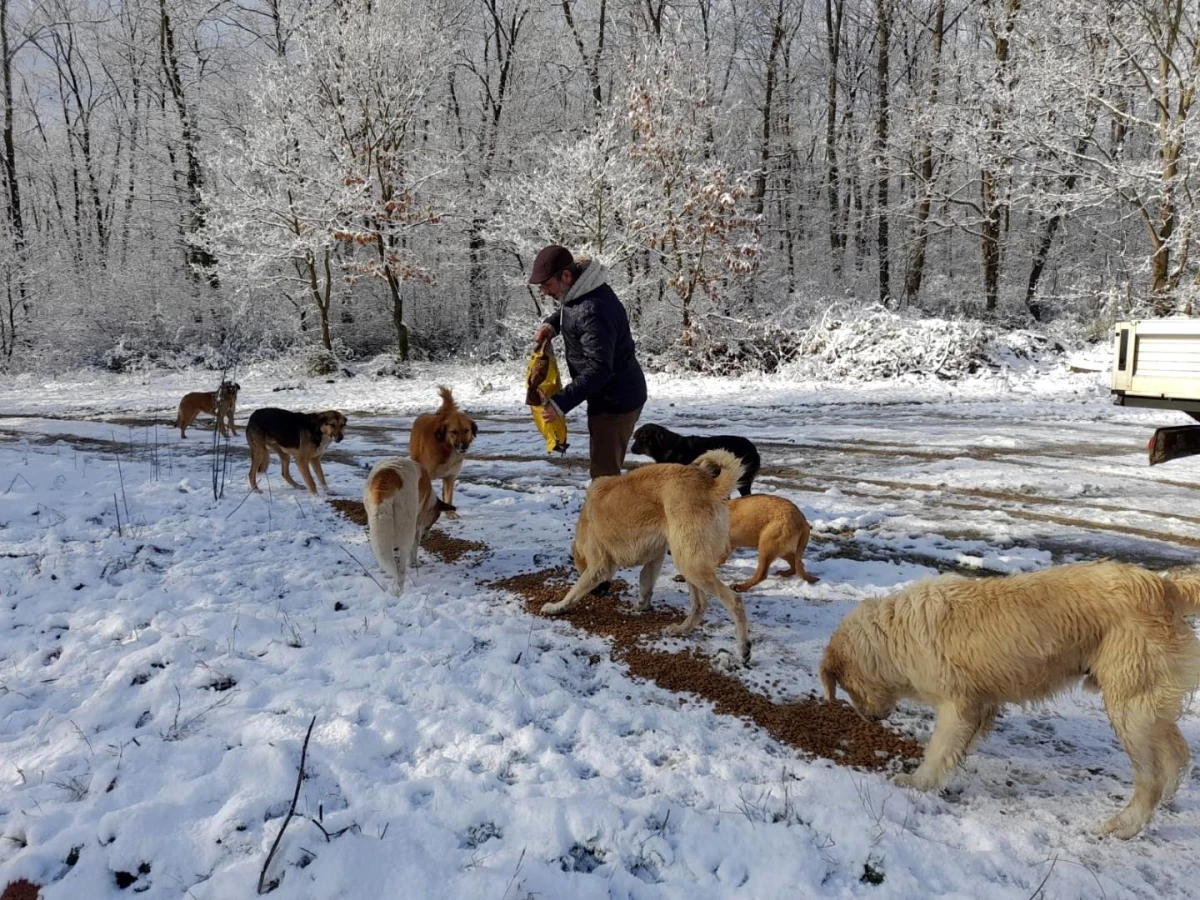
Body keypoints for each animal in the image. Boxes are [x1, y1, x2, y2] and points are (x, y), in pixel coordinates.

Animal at [362, 458, 451, 600]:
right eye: (434, 520)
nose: (427, 537)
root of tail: (387, 476)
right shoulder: (418, 525)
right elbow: (415, 547)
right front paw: (415, 563)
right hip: (407, 530)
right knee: (401, 569)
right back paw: (401, 591)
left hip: (375, 521)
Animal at [408, 386, 472, 518]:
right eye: (454, 432)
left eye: (466, 430)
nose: (463, 446)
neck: (445, 448)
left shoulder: (450, 476)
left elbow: (448, 495)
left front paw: (450, 513)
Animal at [542, 448, 748, 662]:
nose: (598, 593)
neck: (584, 522)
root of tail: (710, 485)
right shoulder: (654, 559)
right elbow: (645, 582)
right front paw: (642, 606)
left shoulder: (599, 566)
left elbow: (574, 591)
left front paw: (557, 606)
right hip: (688, 561)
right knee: (700, 605)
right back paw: (681, 629)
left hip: (690, 564)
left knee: (735, 601)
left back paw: (743, 648)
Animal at [628, 424, 758, 496]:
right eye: (635, 437)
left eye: (644, 437)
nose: (632, 449)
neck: (668, 447)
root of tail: (753, 447)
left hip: (742, 479)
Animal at [820, 561, 1200, 844]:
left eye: (847, 687)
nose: (870, 719)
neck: (890, 637)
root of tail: (1164, 585)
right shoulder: (981, 704)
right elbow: (959, 746)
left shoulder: (958, 704)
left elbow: (939, 750)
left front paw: (917, 783)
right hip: (1146, 705)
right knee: (1178, 754)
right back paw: (1167, 797)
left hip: (1129, 707)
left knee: (1150, 779)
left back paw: (1125, 825)